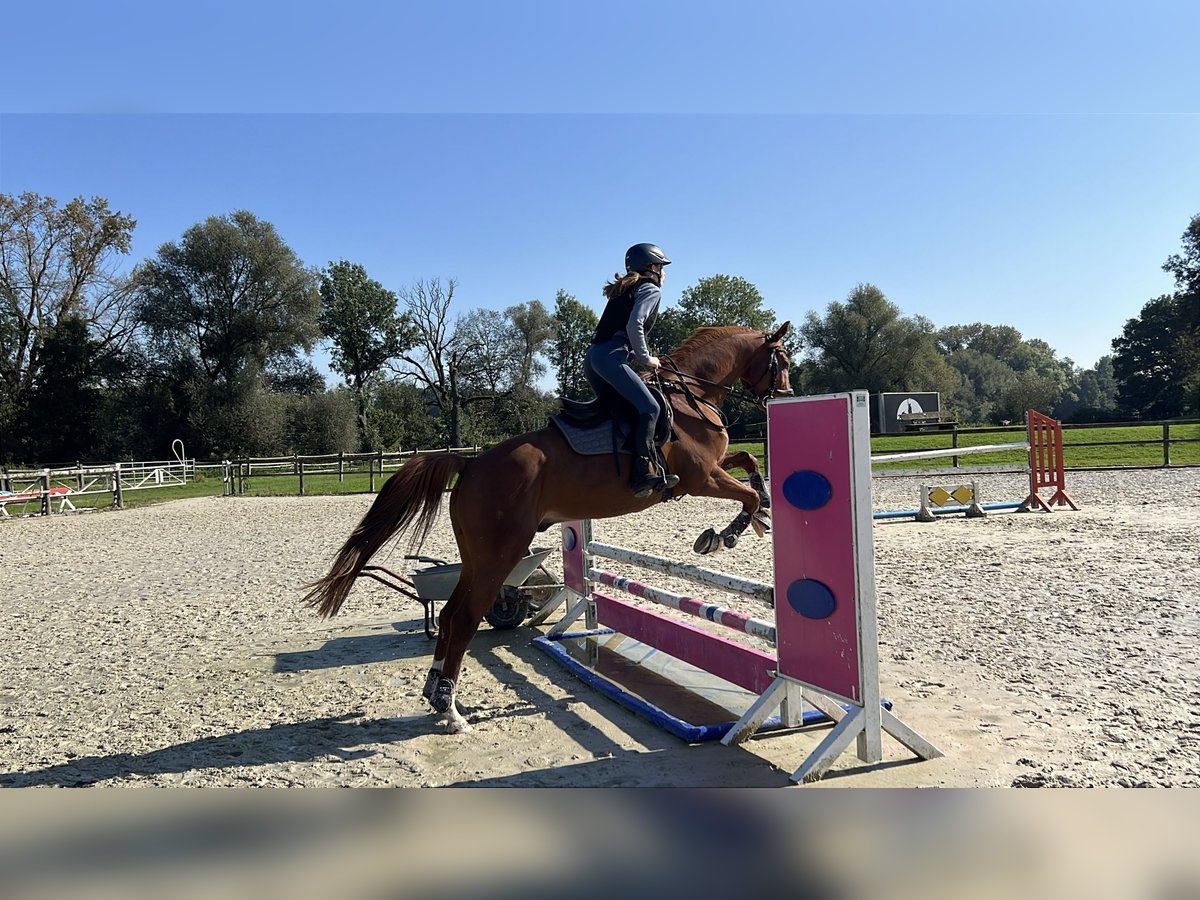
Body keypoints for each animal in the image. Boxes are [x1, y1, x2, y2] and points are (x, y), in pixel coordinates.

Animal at [302, 324, 787, 734]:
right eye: (781, 359)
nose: (785, 393)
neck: (690, 396)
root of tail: (471, 464)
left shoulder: (712, 470)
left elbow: (748, 460)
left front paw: (759, 513)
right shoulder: (700, 478)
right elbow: (744, 494)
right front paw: (727, 534)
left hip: (479, 558)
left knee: (449, 613)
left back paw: (436, 693)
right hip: (500, 555)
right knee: (464, 617)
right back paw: (450, 708)